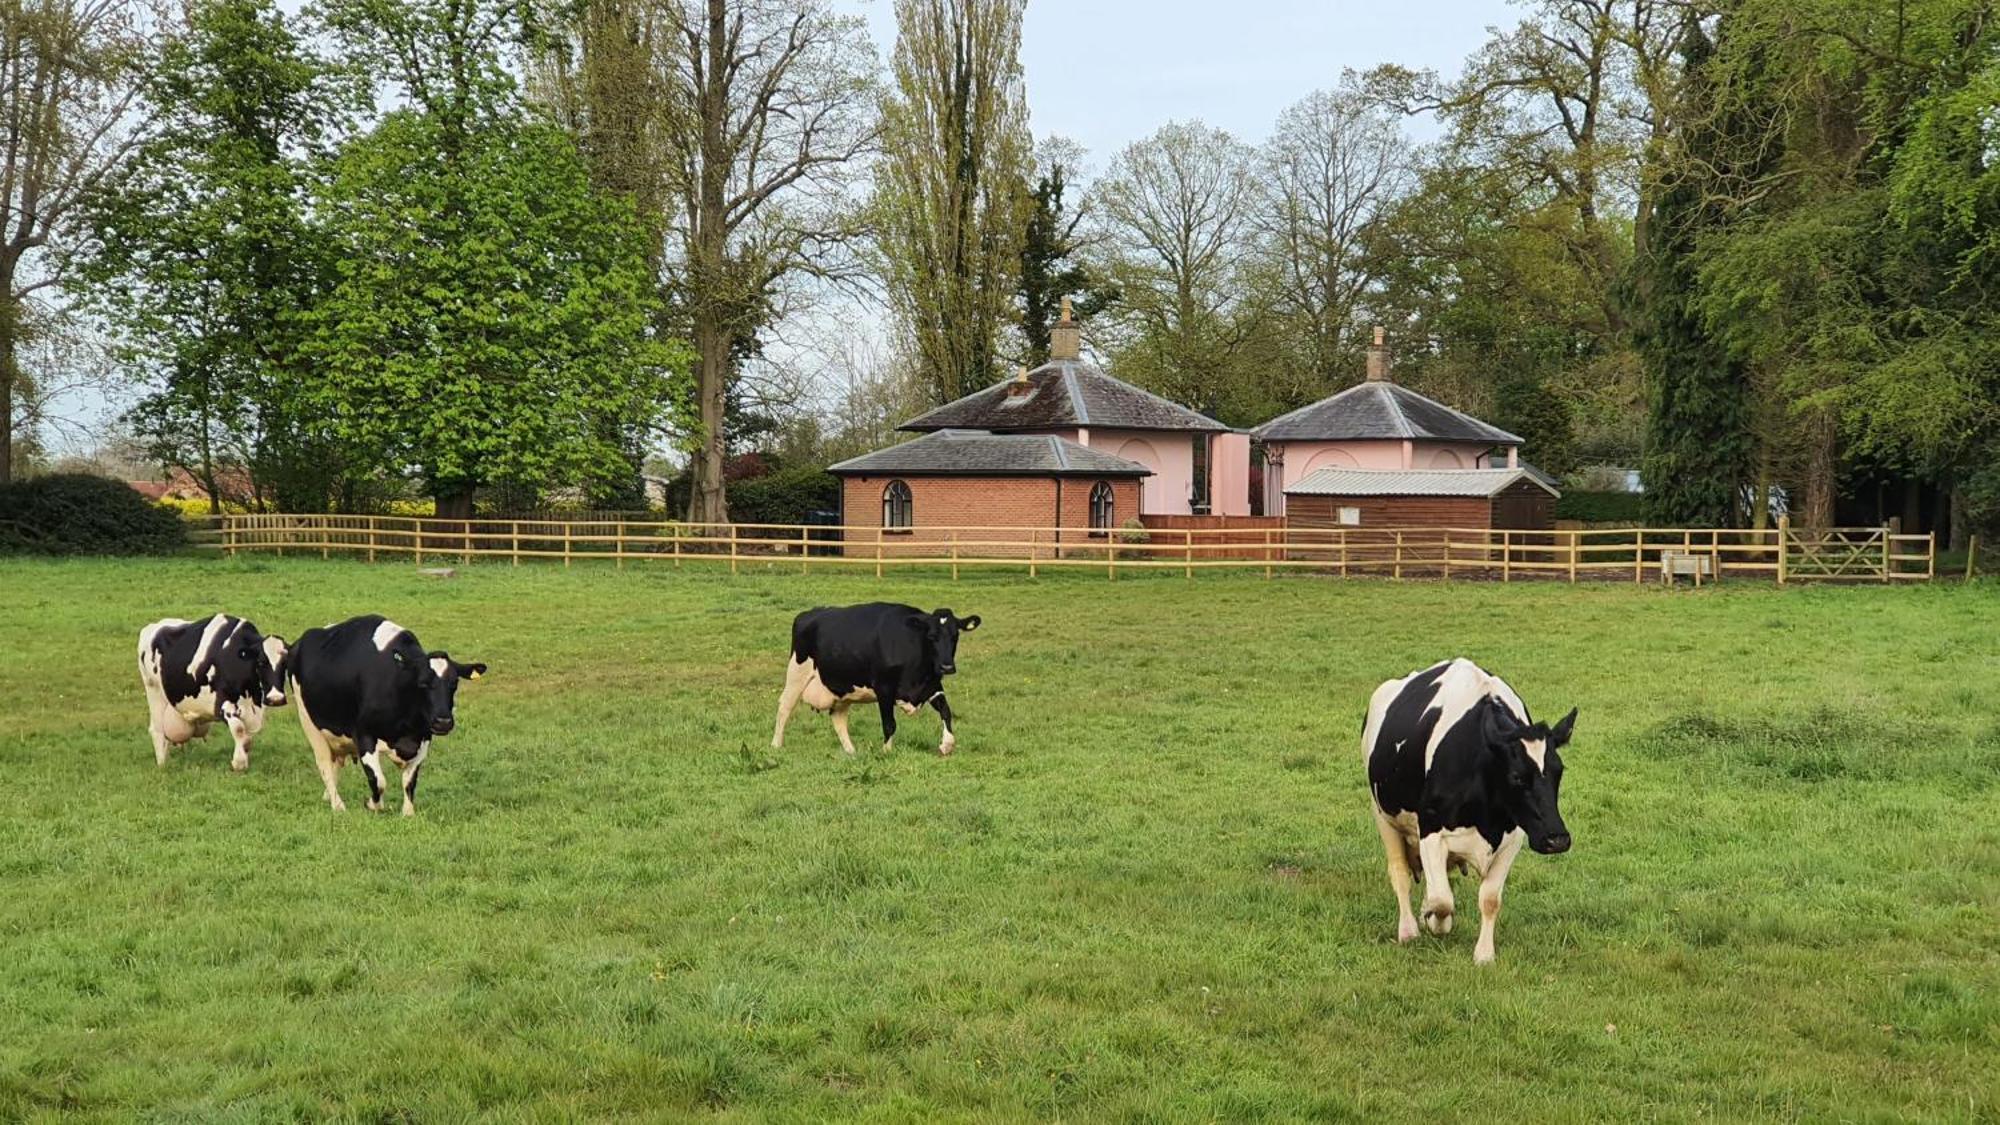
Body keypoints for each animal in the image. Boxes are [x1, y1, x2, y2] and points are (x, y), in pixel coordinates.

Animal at [139, 612, 290, 768]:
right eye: (260, 662)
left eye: (285, 663)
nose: (276, 699)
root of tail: (153, 626)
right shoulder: (223, 702)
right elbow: (239, 730)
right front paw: (239, 763)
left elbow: (247, 739)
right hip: (154, 691)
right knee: (157, 730)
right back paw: (162, 764)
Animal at [286, 608, 484, 808]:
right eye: (422, 683)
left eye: (454, 684)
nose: (443, 722)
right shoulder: (363, 735)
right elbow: (378, 780)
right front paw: (373, 805)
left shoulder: (424, 738)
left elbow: (409, 782)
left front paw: (408, 812)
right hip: (309, 722)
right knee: (324, 765)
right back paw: (338, 806)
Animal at [768, 596, 980, 752]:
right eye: (931, 636)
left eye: (955, 636)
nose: (947, 667)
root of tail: (809, 613)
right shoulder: (884, 688)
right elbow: (889, 724)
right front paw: (886, 752)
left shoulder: (932, 685)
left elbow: (946, 711)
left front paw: (947, 744)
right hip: (797, 674)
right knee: (784, 707)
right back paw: (776, 745)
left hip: (843, 688)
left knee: (838, 717)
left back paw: (851, 752)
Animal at [1360, 656, 1576, 964]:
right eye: (1516, 776)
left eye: (1559, 772)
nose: (1557, 839)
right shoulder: (1430, 830)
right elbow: (1442, 900)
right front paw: (1436, 921)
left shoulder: (1513, 838)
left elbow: (1489, 899)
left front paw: (1484, 955)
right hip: (1383, 815)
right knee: (1400, 873)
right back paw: (1409, 930)